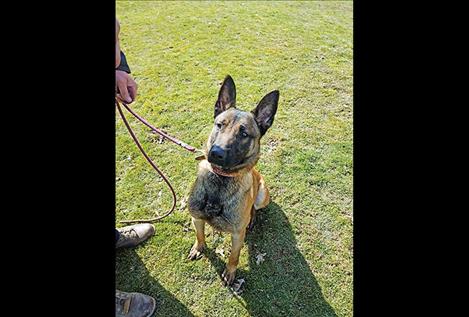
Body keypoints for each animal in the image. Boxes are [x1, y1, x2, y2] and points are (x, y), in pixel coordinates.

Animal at [186, 75, 278, 286]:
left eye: (244, 134)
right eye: (220, 125)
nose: (216, 153)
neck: (220, 182)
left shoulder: (237, 235)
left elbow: (233, 257)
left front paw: (230, 273)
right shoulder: (196, 218)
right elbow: (200, 235)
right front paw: (198, 247)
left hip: (262, 195)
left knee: (254, 208)